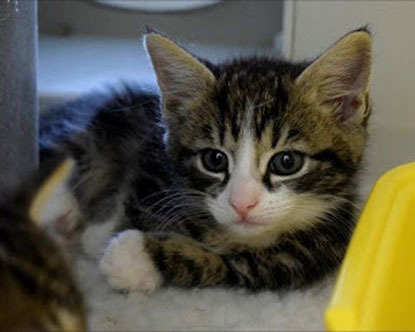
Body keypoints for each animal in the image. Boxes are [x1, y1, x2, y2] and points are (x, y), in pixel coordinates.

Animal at [40, 28, 374, 294]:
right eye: (214, 159)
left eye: (286, 162)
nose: (242, 204)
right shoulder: (151, 155)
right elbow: (132, 194)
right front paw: (103, 233)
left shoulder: (301, 257)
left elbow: (224, 264)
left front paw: (132, 257)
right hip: (106, 119)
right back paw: (60, 209)